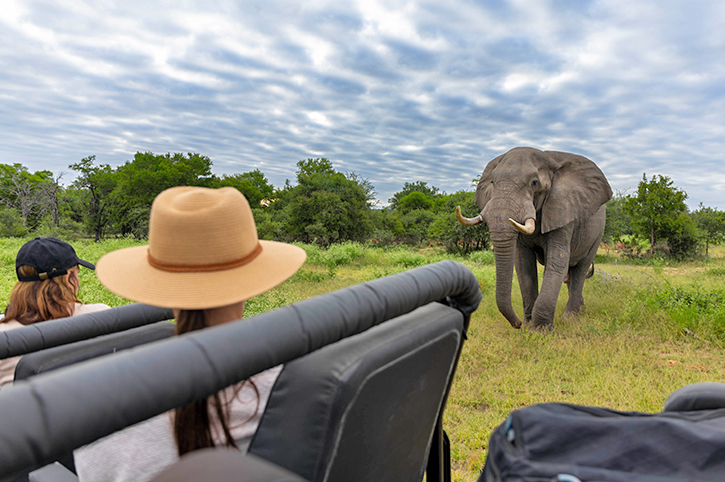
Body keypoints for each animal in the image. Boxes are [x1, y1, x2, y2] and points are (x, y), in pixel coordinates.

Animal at [456, 147, 612, 330]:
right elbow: (524, 265)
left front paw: (539, 331)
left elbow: (557, 259)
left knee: (580, 271)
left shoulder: (563, 211)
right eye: (493, 182)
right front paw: (527, 327)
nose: (517, 323)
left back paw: (570, 320)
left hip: (597, 233)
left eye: (534, 183)